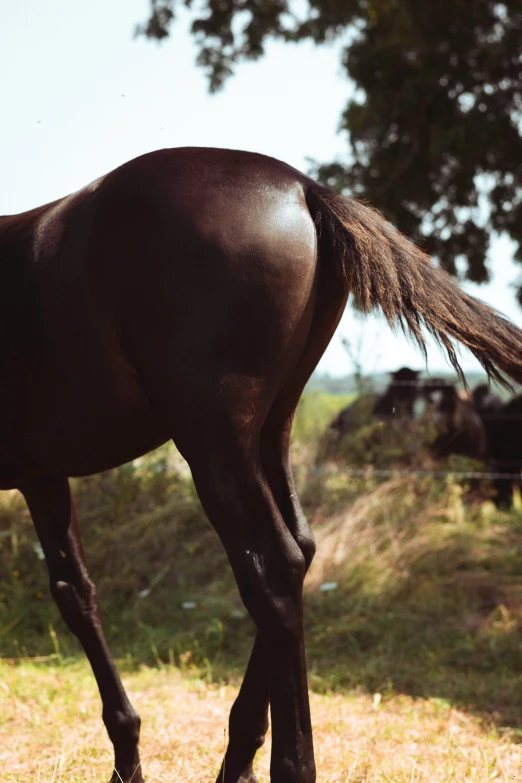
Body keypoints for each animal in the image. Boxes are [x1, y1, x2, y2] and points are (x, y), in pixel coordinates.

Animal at [3, 149, 520, 783]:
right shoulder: (43, 475)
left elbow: (73, 595)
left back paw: (284, 764)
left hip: (214, 441)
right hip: (270, 430)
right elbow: (76, 591)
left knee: (270, 567)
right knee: (298, 551)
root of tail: (303, 189)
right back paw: (239, 755)